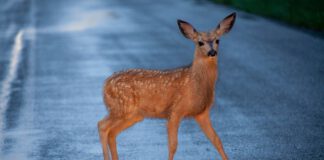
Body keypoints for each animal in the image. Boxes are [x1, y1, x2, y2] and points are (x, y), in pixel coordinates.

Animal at [97, 11, 237, 159]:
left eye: (217, 40)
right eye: (200, 42)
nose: (212, 52)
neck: (195, 82)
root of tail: (105, 84)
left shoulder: (202, 113)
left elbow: (217, 140)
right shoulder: (176, 110)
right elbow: (173, 145)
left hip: (133, 114)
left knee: (112, 132)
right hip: (121, 107)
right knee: (102, 126)